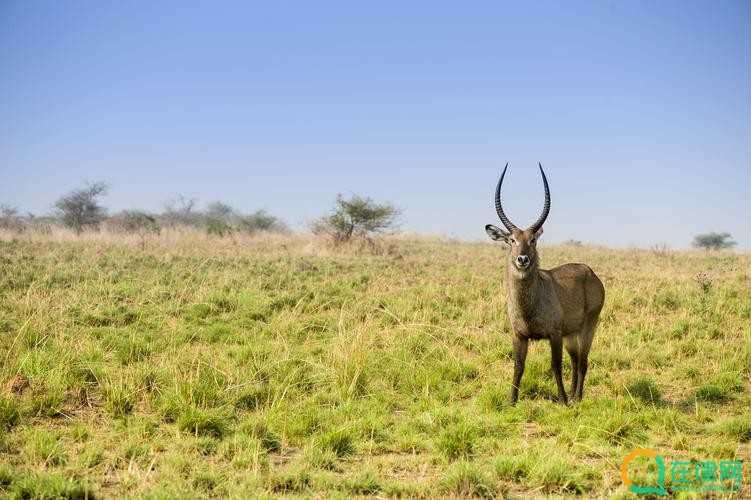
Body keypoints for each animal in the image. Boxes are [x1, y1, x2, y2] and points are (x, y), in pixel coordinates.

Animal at [488, 162, 604, 404]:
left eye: (532, 240)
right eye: (511, 240)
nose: (522, 259)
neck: (529, 305)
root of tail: (590, 272)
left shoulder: (554, 334)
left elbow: (555, 365)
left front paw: (562, 400)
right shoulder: (519, 335)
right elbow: (518, 366)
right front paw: (511, 401)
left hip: (588, 327)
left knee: (583, 360)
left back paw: (577, 397)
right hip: (571, 334)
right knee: (576, 360)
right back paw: (573, 394)